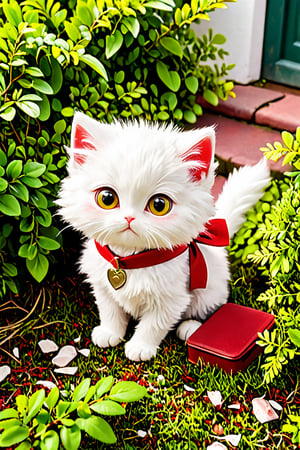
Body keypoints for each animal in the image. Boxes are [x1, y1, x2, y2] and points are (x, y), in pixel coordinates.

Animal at [57, 112, 270, 362]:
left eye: (159, 205)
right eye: (107, 198)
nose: (129, 218)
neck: (131, 260)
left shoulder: (171, 299)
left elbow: (153, 325)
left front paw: (140, 347)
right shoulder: (102, 285)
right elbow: (110, 310)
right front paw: (110, 333)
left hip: (209, 291)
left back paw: (190, 327)